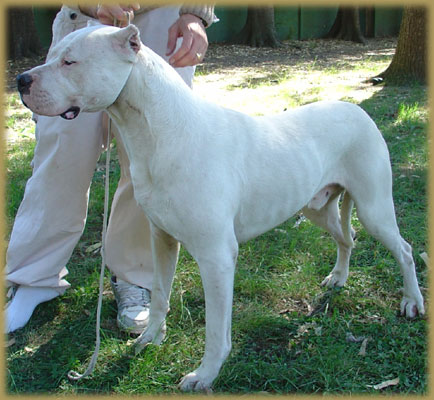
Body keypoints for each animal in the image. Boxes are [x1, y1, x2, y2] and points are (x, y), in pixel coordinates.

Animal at [17, 24, 424, 390]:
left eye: (69, 62)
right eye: (52, 55)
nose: (21, 79)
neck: (157, 132)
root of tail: (360, 112)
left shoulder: (216, 257)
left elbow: (215, 329)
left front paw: (205, 375)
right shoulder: (161, 239)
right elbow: (160, 294)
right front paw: (150, 338)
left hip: (374, 209)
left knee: (403, 250)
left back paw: (411, 302)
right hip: (317, 207)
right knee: (346, 237)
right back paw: (339, 277)